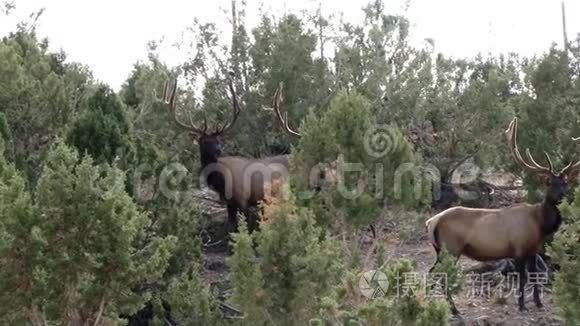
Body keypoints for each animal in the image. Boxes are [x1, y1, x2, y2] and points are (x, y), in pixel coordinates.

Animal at [160, 77, 290, 236]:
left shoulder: (243, 199)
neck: (221, 181)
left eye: (219, 140)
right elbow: (232, 226)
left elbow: (247, 227)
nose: (218, 150)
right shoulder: (229, 202)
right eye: (204, 141)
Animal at [426, 116, 580, 314]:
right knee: (438, 274)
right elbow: (523, 278)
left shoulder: (534, 250)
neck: (540, 224)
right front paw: (522, 306)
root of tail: (431, 222)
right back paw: (452, 309)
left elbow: (535, 276)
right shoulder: (519, 249)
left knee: (433, 273)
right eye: (549, 182)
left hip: (440, 250)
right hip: (450, 248)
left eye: (566, 182)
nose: (562, 197)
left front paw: (538, 303)